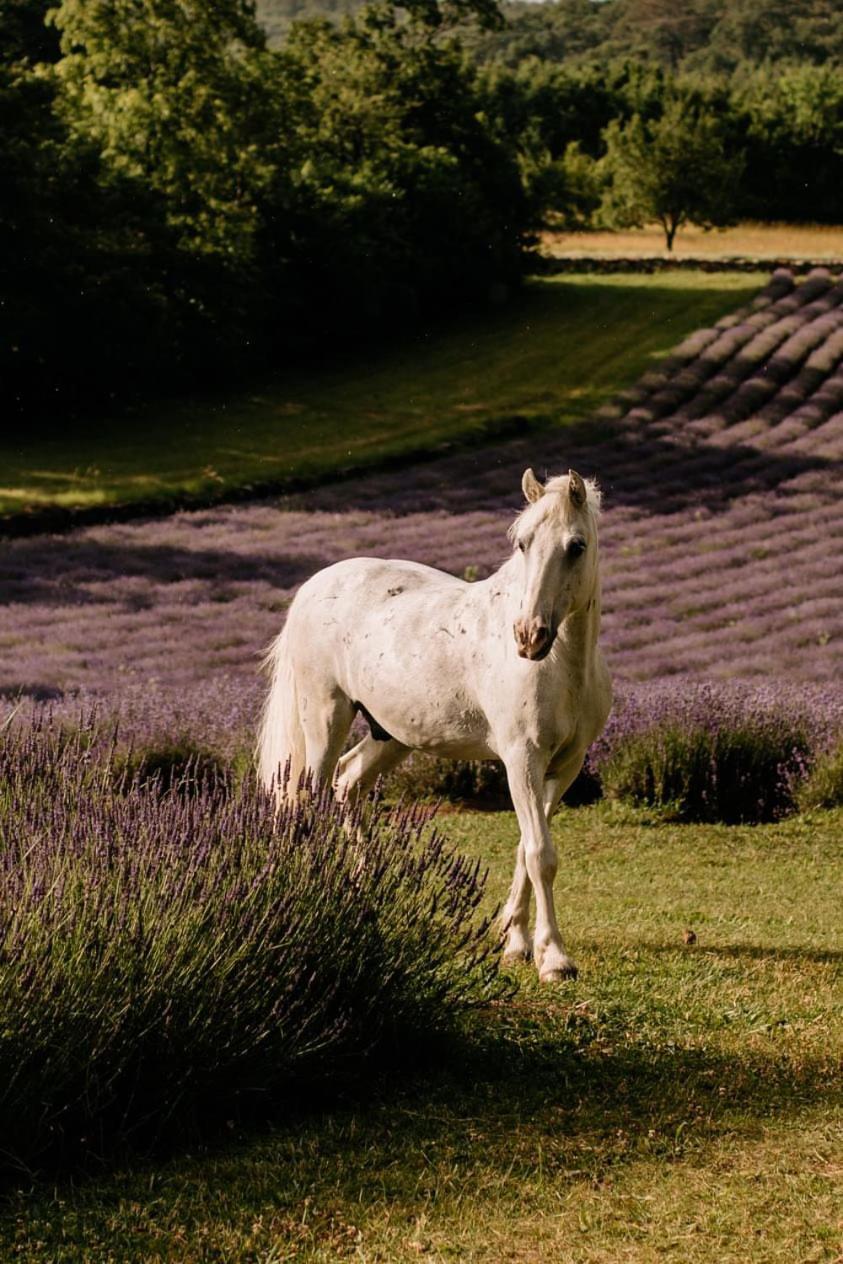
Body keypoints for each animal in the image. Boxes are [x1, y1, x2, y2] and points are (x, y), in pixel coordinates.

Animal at [260, 470, 609, 980]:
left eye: (576, 546)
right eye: (522, 543)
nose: (529, 636)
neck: (564, 666)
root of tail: (314, 586)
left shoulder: (564, 766)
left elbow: (527, 848)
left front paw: (517, 942)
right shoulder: (521, 760)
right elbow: (541, 854)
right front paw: (554, 959)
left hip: (390, 735)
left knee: (347, 784)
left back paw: (363, 901)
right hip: (324, 719)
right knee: (304, 801)